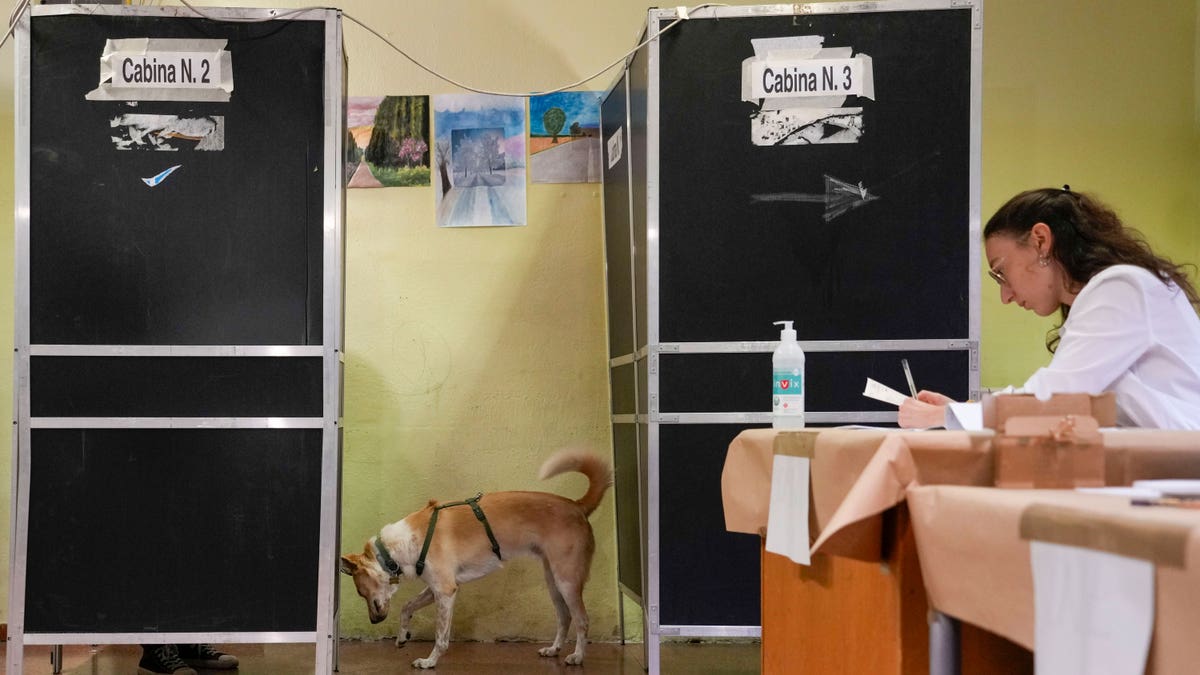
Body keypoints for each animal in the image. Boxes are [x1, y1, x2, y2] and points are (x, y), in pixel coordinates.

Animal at [343, 446, 614, 667]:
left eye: (360, 591)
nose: (374, 622)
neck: (397, 546)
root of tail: (577, 506)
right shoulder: (437, 588)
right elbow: (407, 606)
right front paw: (402, 636)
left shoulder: (446, 591)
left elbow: (441, 636)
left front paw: (430, 661)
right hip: (553, 581)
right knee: (565, 617)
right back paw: (554, 649)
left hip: (567, 580)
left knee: (582, 619)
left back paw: (577, 656)